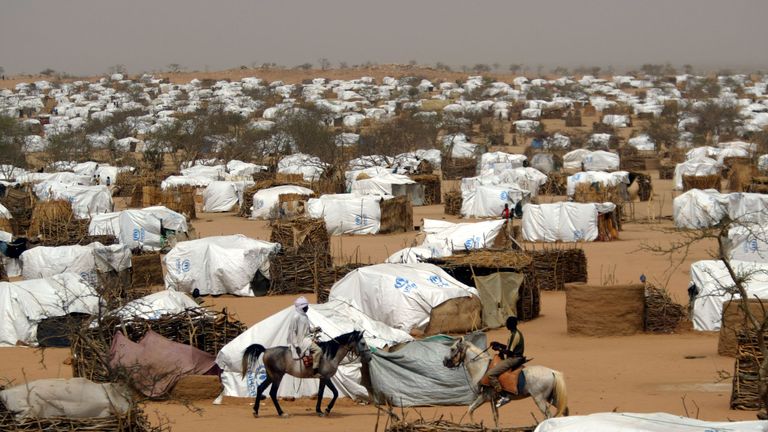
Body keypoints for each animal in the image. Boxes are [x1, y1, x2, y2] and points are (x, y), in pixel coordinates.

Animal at [242, 330, 370, 416]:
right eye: (363, 343)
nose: (369, 357)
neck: (329, 355)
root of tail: (266, 350)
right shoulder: (326, 377)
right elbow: (335, 393)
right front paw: (327, 409)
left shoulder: (322, 379)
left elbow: (321, 393)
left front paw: (319, 410)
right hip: (277, 376)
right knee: (272, 393)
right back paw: (281, 412)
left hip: (271, 376)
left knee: (260, 388)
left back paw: (256, 411)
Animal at [440, 336, 568, 424]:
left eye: (452, 349)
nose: (445, 362)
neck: (482, 368)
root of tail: (552, 372)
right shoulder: (490, 398)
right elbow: (484, 414)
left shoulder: (486, 396)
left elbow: (474, 411)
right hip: (552, 398)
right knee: (564, 410)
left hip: (539, 399)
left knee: (549, 416)